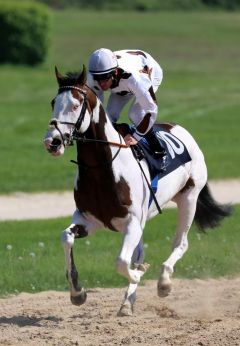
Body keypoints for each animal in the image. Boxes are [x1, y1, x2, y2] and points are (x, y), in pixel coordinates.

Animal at [43, 65, 232, 316]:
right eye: (53, 102)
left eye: (75, 105)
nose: (52, 142)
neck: (103, 170)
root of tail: (180, 129)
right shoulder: (90, 219)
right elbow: (66, 237)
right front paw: (77, 292)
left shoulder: (131, 221)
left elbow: (122, 262)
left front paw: (140, 275)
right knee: (140, 251)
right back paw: (128, 301)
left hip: (189, 198)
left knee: (180, 243)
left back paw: (163, 283)